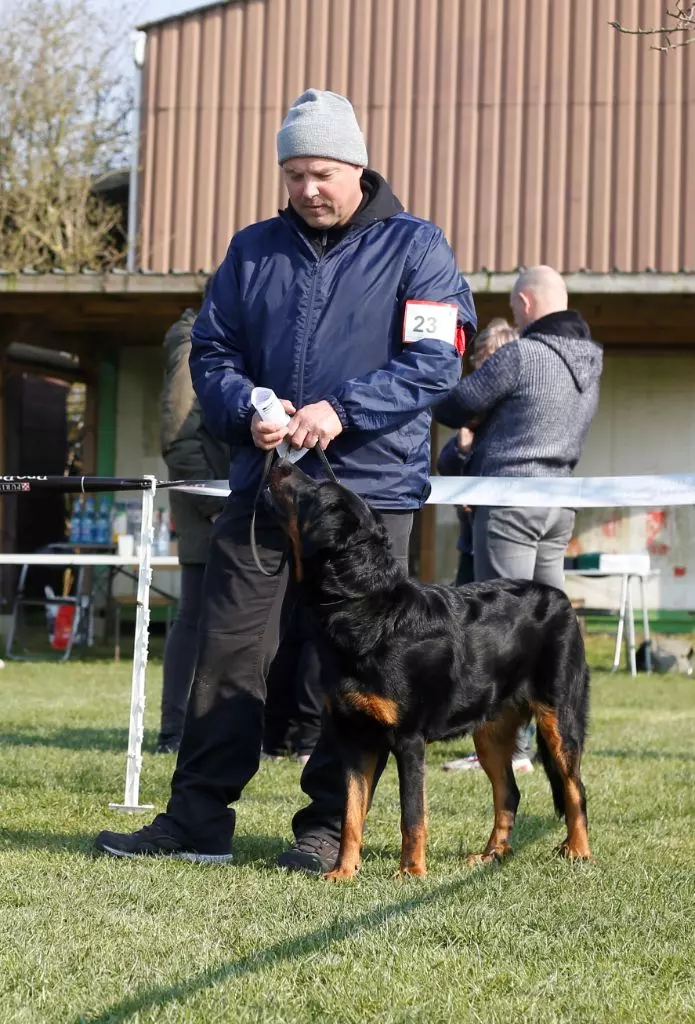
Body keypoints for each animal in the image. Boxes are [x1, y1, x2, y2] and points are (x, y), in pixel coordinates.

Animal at [266, 460, 593, 876]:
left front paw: (410, 871)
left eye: (315, 491)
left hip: (558, 717)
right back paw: (491, 855)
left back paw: (579, 850)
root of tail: (563, 598)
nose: (280, 463)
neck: (369, 610)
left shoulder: (408, 739)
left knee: (574, 788)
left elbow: (412, 814)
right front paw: (343, 872)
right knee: (509, 793)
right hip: (491, 731)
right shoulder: (354, 737)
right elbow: (351, 813)